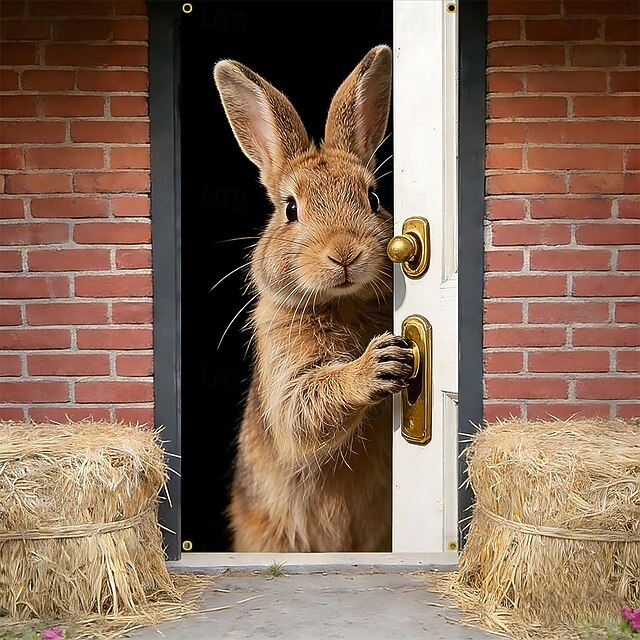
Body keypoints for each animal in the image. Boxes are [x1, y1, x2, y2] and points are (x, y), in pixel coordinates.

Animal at [213, 45, 415, 552]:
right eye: (290, 209)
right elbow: (302, 406)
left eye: (374, 198)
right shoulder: (286, 370)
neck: (342, 303)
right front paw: (378, 365)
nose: (344, 253)